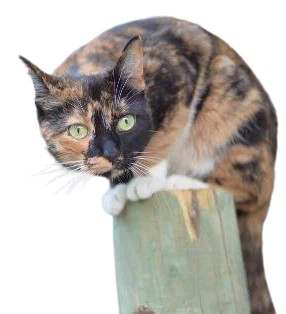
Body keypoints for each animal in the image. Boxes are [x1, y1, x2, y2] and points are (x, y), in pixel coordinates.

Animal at [20, 17, 278, 314]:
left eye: (126, 122)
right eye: (78, 131)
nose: (111, 152)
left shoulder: (179, 79)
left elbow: (164, 136)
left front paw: (145, 180)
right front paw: (116, 189)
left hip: (235, 111)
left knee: (248, 188)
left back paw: (182, 179)